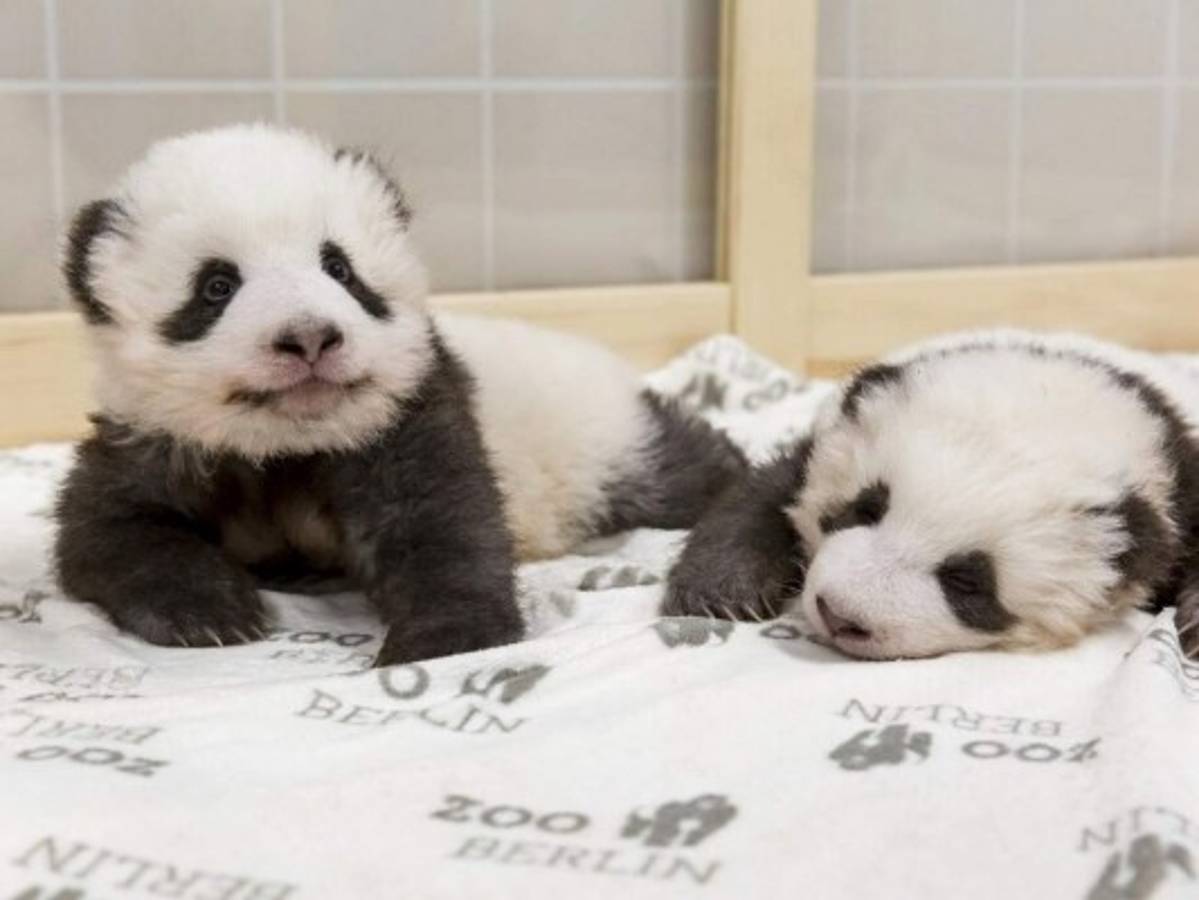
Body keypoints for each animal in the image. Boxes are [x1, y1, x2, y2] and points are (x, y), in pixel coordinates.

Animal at [54, 123, 745, 667]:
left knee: (680, 465)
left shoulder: (409, 407)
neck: (286, 441)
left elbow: (439, 520)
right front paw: (211, 613)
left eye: (339, 268)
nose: (310, 337)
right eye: (216, 286)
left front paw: (445, 639)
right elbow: (109, 531)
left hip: (600, 435)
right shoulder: (148, 432)